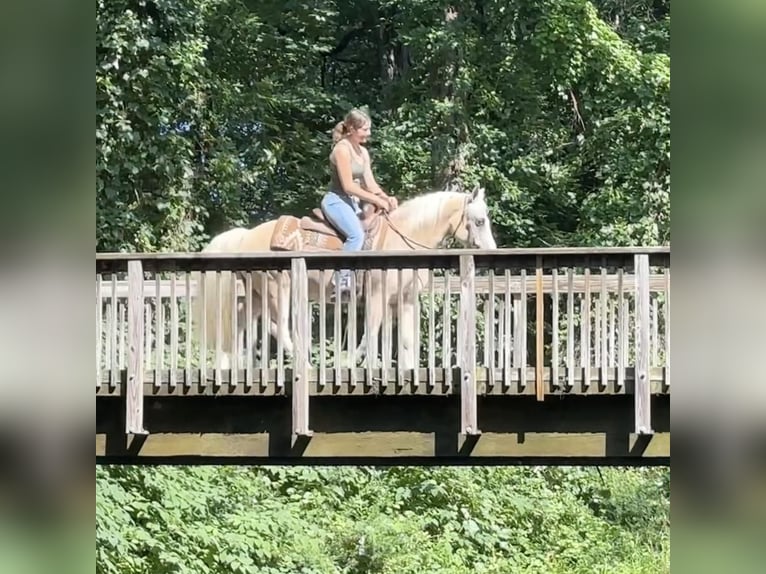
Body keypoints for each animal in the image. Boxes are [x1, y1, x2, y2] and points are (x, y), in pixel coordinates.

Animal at [195, 187, 500, 372]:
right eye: (480, 221)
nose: (493, 251)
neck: (400, 241)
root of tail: (246, 235)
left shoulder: (405, 300)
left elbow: (406, 340)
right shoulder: (376, 298)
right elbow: (369, 335)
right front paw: (350, 365)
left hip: (257, 295)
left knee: (244, 324)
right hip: (277, 289)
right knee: (279, 327)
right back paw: (306, 367)